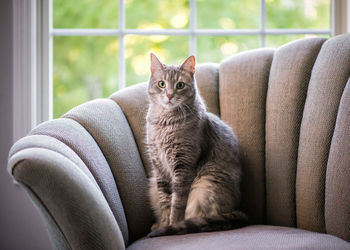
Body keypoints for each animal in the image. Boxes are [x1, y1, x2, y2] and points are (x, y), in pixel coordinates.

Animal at [146, 52, 247, 236]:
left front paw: (172, 225)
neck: (164, 123)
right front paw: (164, 223)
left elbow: (177, 203)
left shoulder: (183, 165)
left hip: (206, 184)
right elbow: (165, 202)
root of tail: (236, 210)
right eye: (161, 84)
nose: (169, 95)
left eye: (180, 85)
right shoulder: (159, 168)